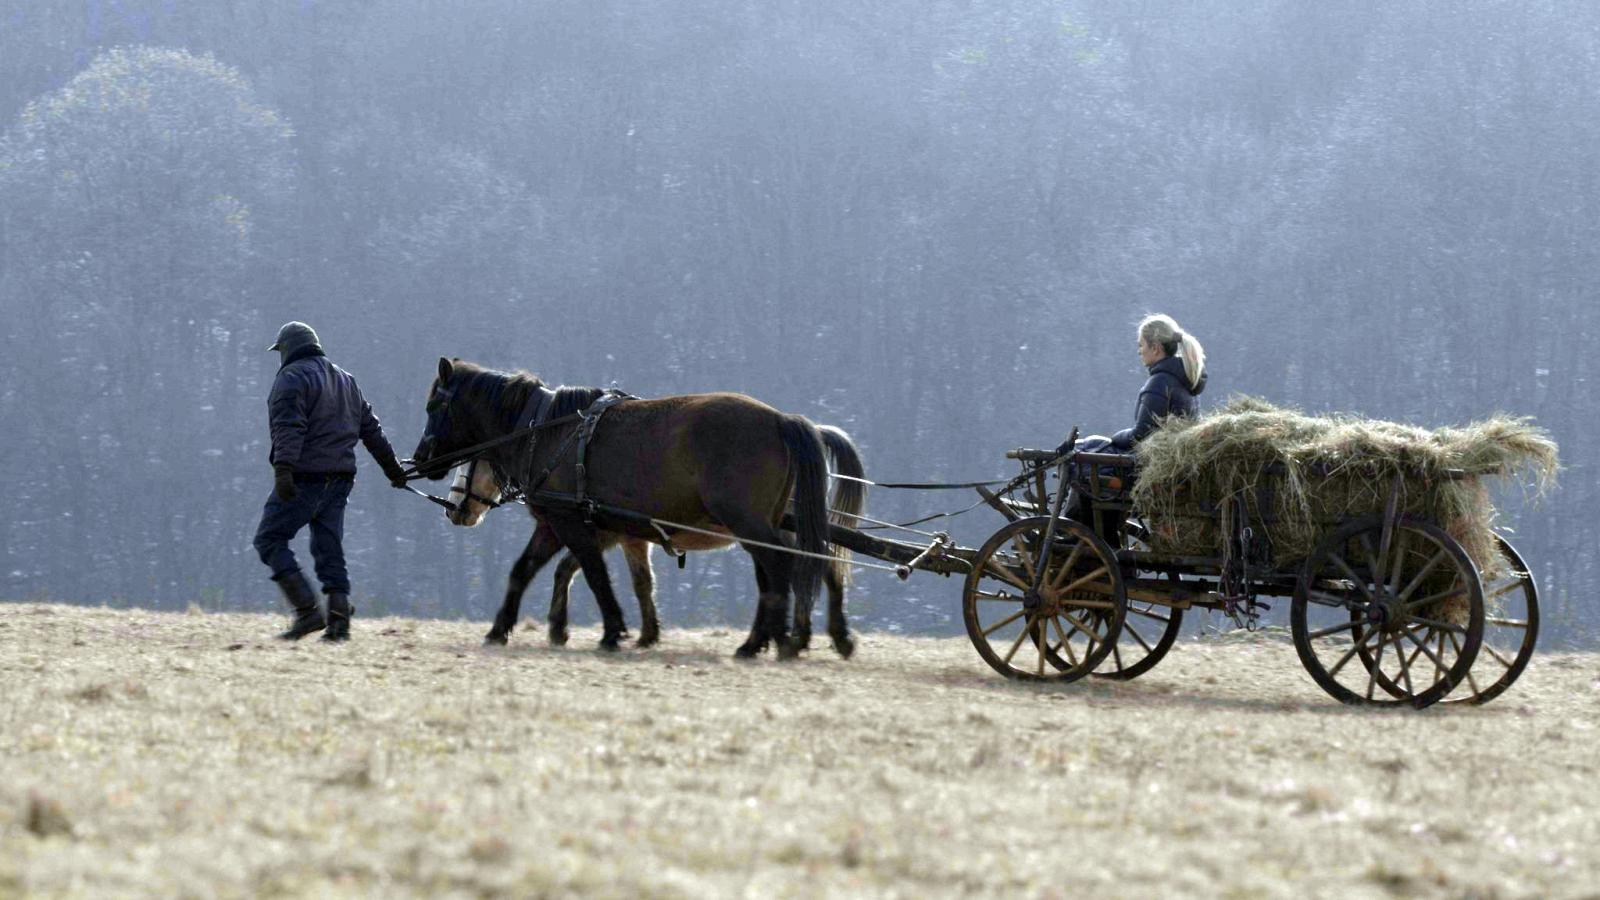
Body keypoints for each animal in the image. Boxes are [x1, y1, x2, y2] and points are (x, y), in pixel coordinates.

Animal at [416, 357, 864, 659]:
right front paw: (500, 629)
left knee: (786, 567)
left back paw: (779, 640)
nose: (421, 459)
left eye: (434, 407)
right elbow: (523, 571)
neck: (544, 432)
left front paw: (613, 631)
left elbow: (594, 574)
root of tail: (782, 420)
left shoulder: (574, 524)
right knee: (799, 566)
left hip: (750, 524)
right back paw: (783, 639)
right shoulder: (554, 524)